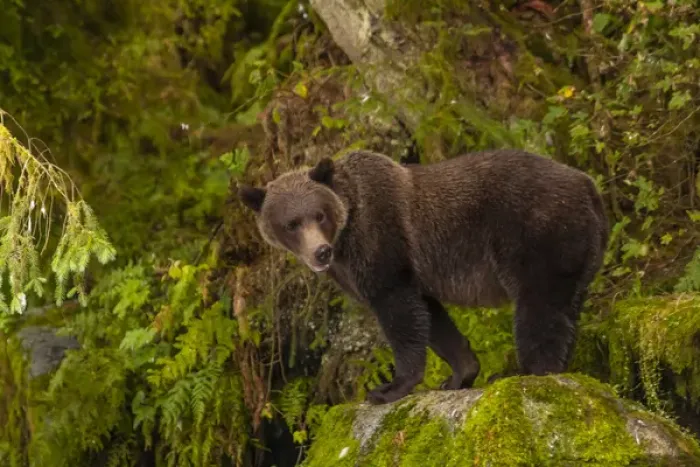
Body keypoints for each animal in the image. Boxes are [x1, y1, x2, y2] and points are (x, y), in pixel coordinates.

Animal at [238, 149, 609, 405]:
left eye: (319, 214)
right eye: (291, 223)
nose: (321, 253)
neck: (346, 232)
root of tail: (588, 184)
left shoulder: (383, 244)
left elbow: (399, 313)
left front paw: (389, 388)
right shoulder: (404, 273)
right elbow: (433, 319)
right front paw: (458, 375)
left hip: (538, 232)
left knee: (539, 306)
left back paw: (528, 370)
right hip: (582, 249)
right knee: (566, 306)